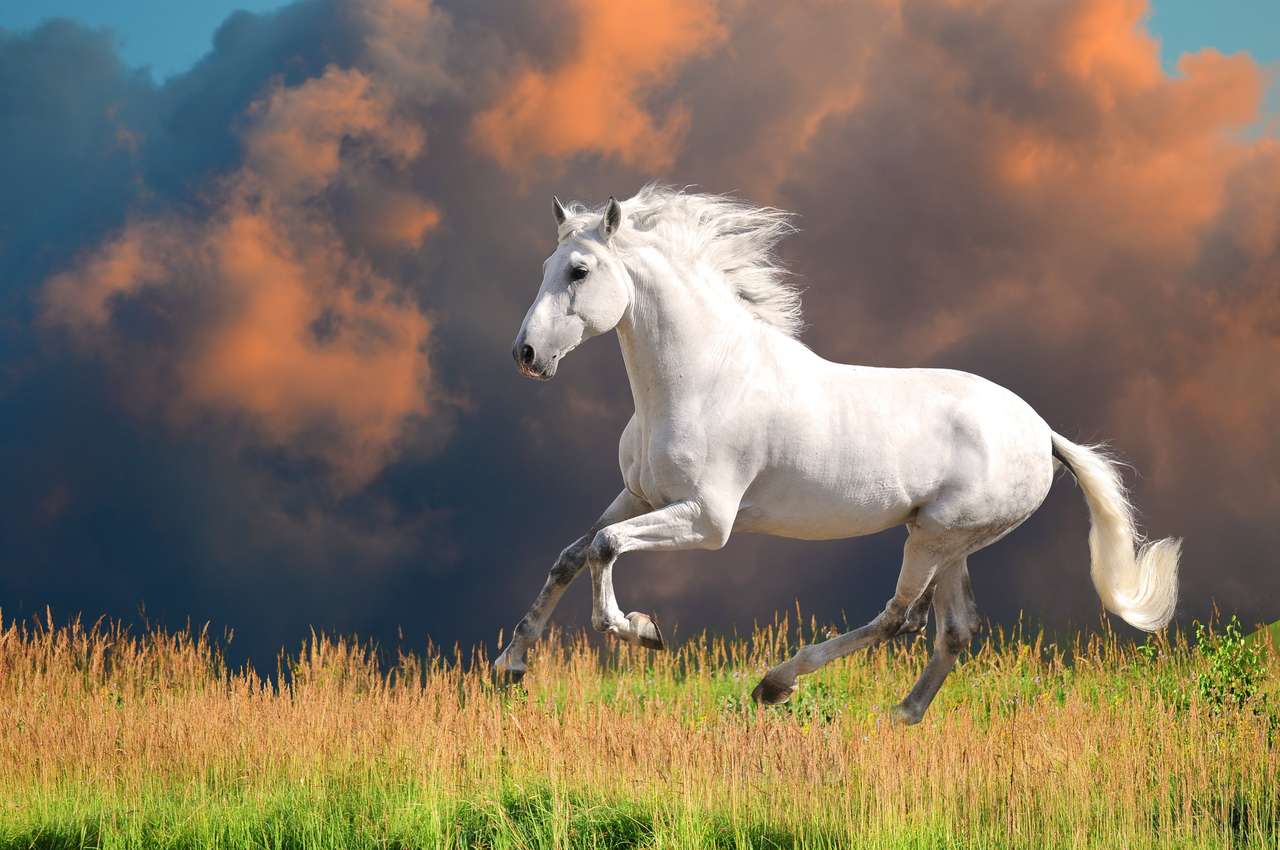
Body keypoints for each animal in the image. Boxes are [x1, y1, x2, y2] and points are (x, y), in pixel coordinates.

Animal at [494, 185, 1180, 724]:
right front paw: (510, 664)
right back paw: (901, 715)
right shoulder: (639, 495)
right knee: (953, 629)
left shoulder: (707, 520)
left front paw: (641, 631)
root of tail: (1042, 433)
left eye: (579, 271)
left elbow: (606, 550)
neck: (704, 379)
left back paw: (777, 685)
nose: (526, 355)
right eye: (547, 263)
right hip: (952, 543)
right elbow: (573, 555)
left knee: (899, 618)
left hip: (935, 536)